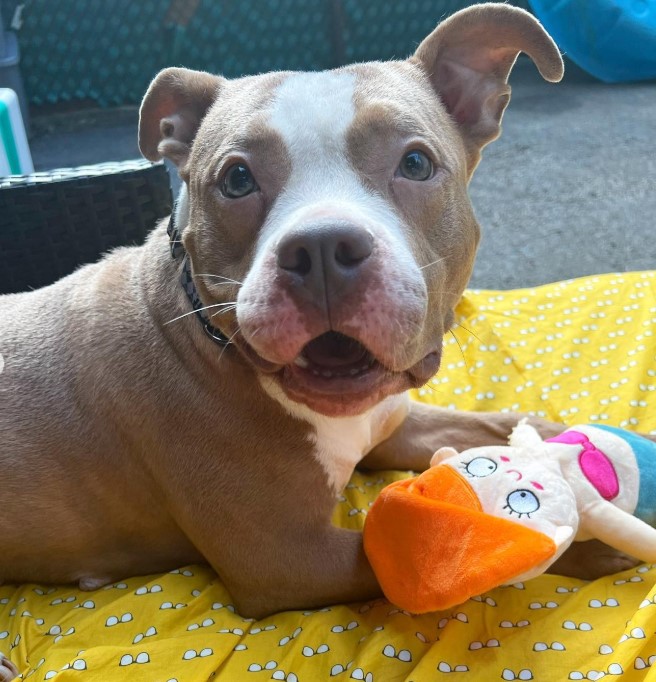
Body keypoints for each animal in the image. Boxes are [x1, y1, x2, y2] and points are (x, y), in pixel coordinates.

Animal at [0, 7, 636, 652]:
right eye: (236, 179)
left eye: (415, 163)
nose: (324, 248)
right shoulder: (290, 559)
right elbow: (449, 552)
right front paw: (590, 546)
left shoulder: (392, 426)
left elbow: (493, 422)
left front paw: (575, 439)